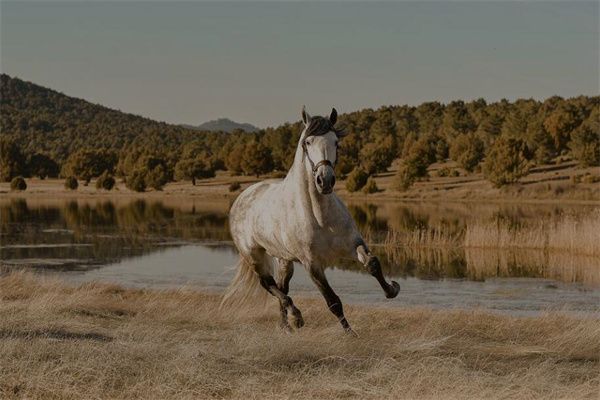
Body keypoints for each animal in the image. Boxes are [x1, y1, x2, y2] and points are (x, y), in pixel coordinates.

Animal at [221, 105, 398, 332]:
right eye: (308, 142)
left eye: (336, 142)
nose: (325, 180)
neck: (320, 216)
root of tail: (242, 197)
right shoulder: (312, 264)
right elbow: (333, 302)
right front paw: (351, 334)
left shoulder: (352, 244)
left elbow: (373, 264)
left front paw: (392, 289)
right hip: (254, 256)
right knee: (269, 285)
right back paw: (296, 317)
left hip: (284, 259)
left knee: (281, 286)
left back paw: (286, 326)